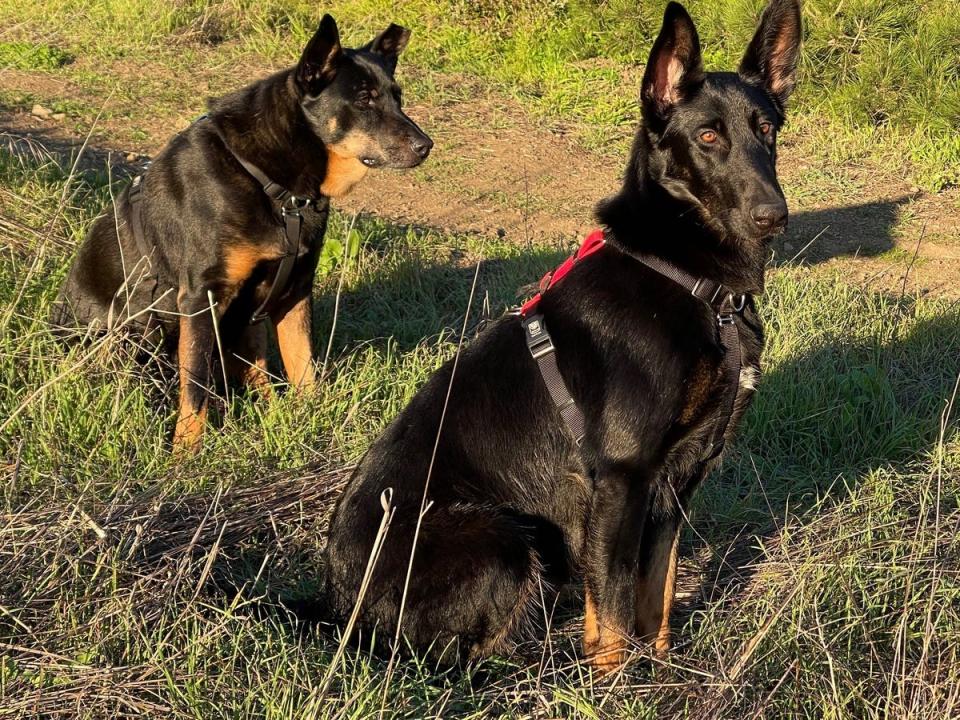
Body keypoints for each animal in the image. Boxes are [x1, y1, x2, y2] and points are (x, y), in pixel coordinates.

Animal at [48, 14, 432, 452]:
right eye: (365, 99)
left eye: (398, 98)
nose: (426, 146)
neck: (275, 186)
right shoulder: (201, 298)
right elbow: (195, 385)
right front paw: (186, 453)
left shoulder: (294, 290)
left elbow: (303, 366)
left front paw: (308, 417)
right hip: (132, 335)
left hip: (242, 323)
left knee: (254, 372)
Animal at [322, 0, 804, 676]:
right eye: (708, 137)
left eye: (768, 129)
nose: (773, 215)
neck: (689, 278)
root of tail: (338, 608)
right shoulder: (621, 481)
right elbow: (615, 612)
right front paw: (616, 684)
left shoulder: (675, 483)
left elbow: (654, 594)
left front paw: (661, 670)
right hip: (503, 537)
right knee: (450, 655)